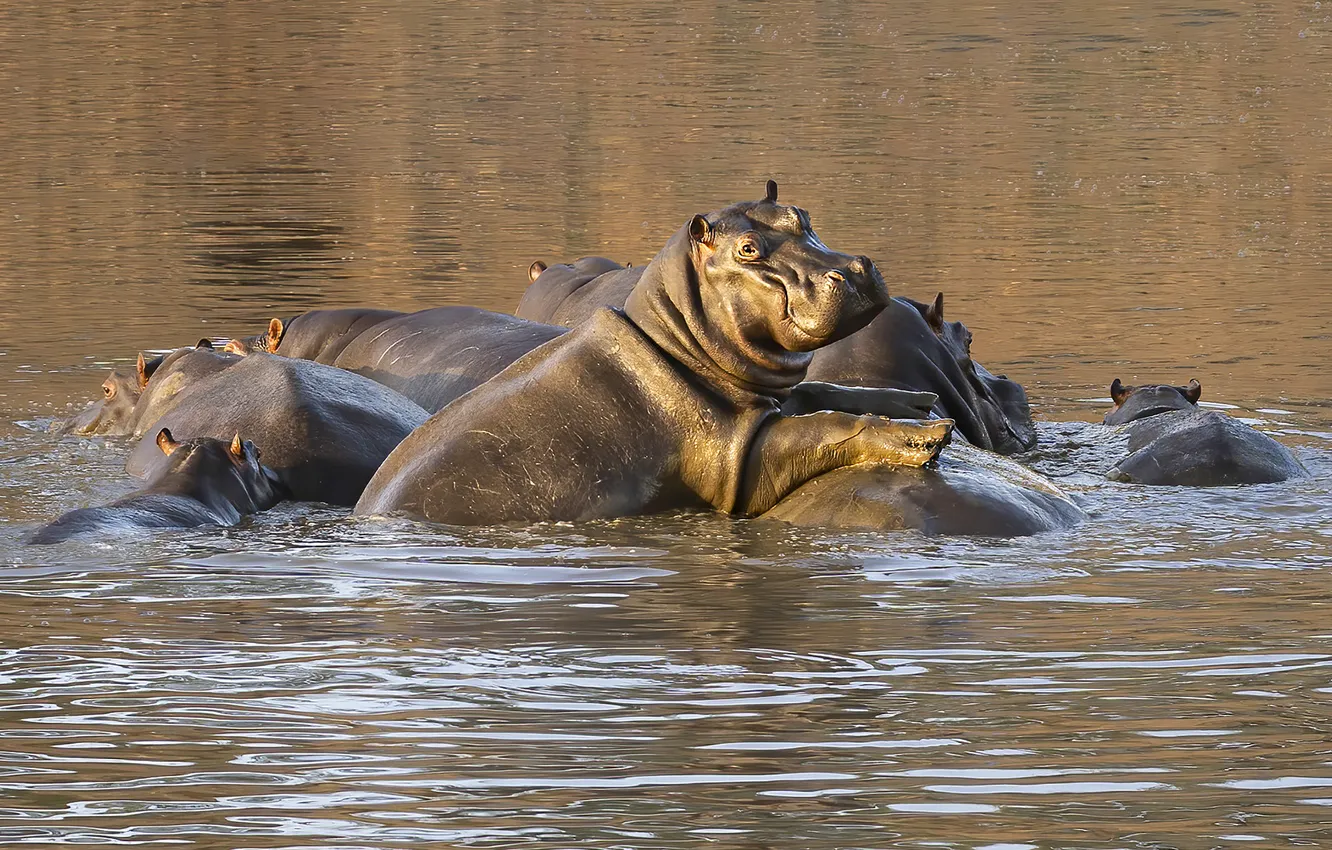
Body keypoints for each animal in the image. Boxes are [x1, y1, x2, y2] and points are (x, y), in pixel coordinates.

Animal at [356, 182, 952, 526]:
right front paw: (924, 437)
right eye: (748, 250)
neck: (680, 339)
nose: (853, 270)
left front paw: (917, 402)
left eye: (799, 214)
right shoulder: (738, 463)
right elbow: (825, 427)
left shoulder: (770, 395)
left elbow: (823, 390)